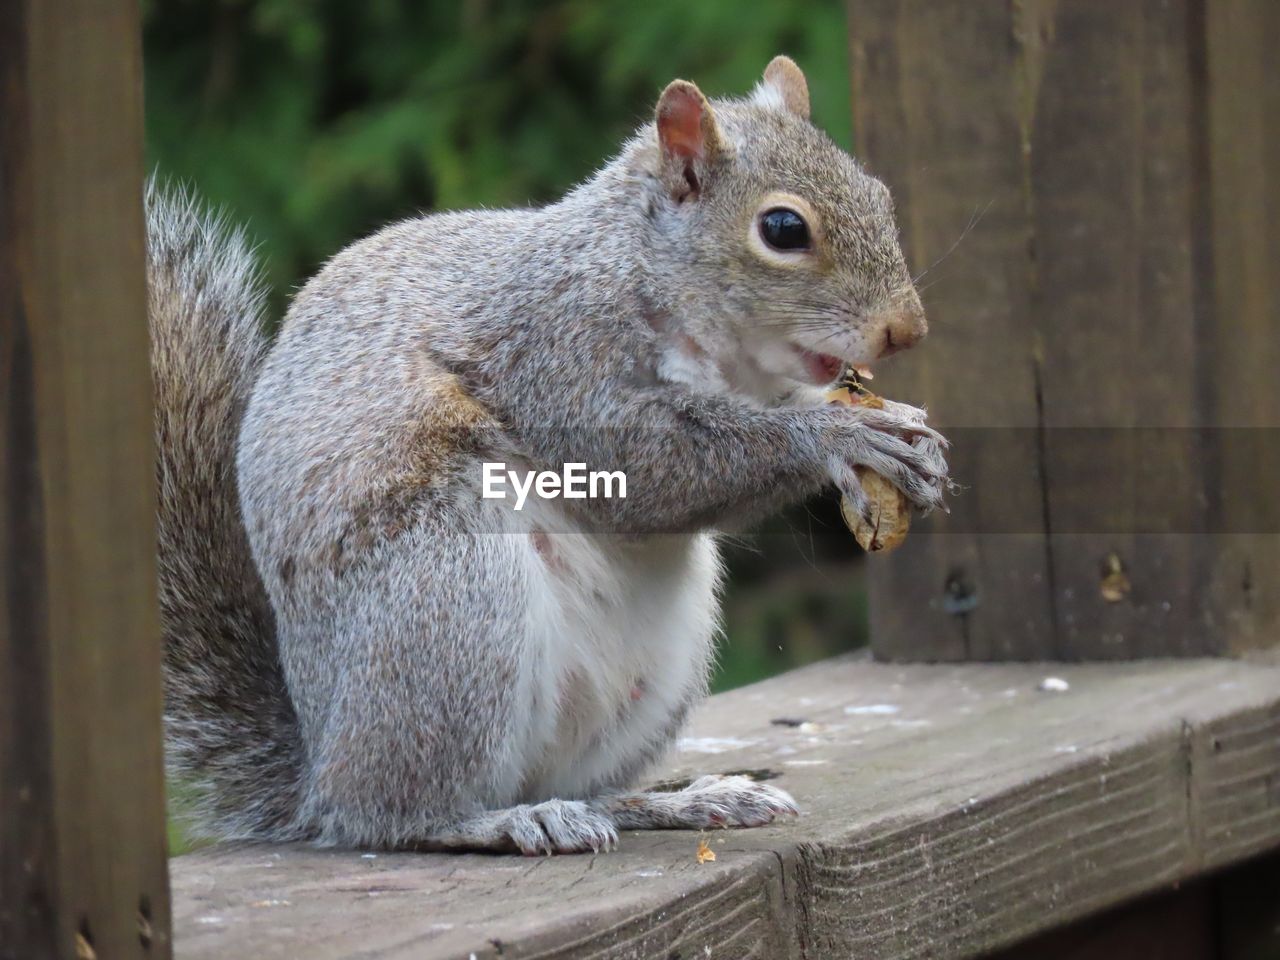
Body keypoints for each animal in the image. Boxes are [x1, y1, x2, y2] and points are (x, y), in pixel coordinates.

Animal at [152, 56, 952, 855]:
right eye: (783, 228)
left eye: (878, 193)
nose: (907, 330)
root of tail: (319, 772)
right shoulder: (557, 357)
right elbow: (652, 474)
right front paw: (839, 438)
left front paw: (905, 433)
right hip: (449, 599)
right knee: (397, 814)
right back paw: (499, 820)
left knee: (578, 786)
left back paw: (677, 802)